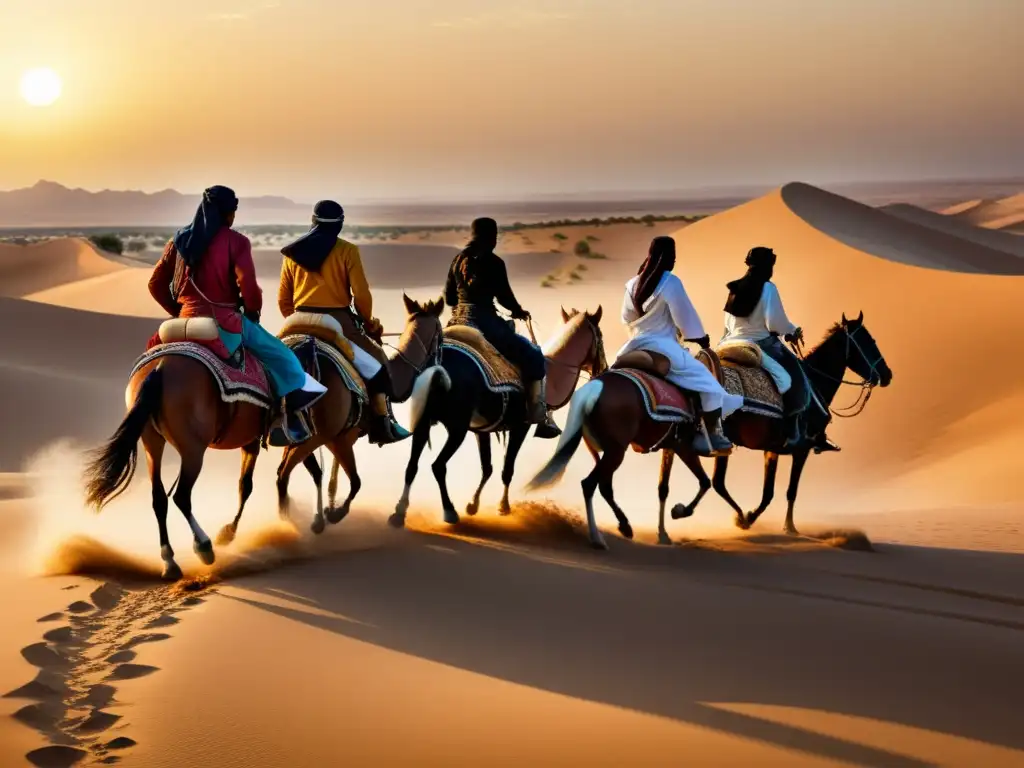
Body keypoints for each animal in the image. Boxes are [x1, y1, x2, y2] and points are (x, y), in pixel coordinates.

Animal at [218, 294, 446, 548]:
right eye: (440, 335)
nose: (441, 359)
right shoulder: (339, 438)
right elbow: (354, 481)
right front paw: (333, 513)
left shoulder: (330, 437)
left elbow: (326, 474)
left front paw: (326, 509)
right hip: (316, 434)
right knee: (282, 475)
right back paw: (290, 524)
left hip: (265, 430)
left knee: (249, 481)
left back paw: (231, 530)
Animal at [385, 305, 606, 528]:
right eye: (600, 338)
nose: (603, 368)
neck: (550, 380)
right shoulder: (521, 426)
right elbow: (507, 470)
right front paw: (503, 506)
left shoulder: (482, 429)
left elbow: (487, 467)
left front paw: (473, 505)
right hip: (458, 427)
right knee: (438, 466)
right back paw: (449, 511)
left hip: (424, 421)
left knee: (412, 465)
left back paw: (399, 513)